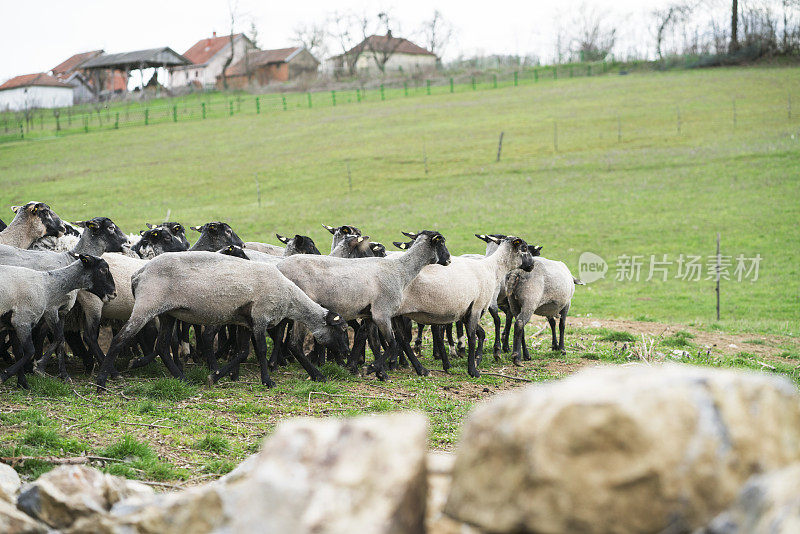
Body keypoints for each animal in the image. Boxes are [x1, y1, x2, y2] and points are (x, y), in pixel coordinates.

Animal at [0, 256, 115, 390]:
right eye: (103, 270)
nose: (114, 293)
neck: (48, 286)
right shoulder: (23, 321)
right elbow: (30, 351)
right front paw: (6, 375)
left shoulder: (13, 324)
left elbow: (19, 352)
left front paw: (23, 383)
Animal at [94, 251, 350, 390]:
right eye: (341, 331)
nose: (347, 354)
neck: (290, 298)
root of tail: (138, 274)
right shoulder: (260, 317)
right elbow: (260, 351)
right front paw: (267, 381)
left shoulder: (246, 321)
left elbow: (242, 352)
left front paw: (215, 376)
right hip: (147, 305)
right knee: (120, 339)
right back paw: (102, 382)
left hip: (168, 313)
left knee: (162, 346)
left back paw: (181, 378)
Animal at [276, 230, 450, 382]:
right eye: (441, 242)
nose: (449, 259)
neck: (400, 271)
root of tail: (278, 267)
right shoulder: (382, 313)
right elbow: (393, 344)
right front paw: (370, 368)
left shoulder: (370, 315)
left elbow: (374, 342)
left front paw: (380, 373)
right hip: (301, 308)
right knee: (295, 344)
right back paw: (317, 375)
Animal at [392, 237, 532, 378]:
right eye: (524, 248)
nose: (532, 265)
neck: (492, 269)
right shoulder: (476, 307)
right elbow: (472, 338)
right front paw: (473, 370)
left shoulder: (466, 312)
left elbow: (481, 333)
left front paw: (477, 359)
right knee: (403, 338)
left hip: (397, 313)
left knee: (402, 338)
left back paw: (420, 368)